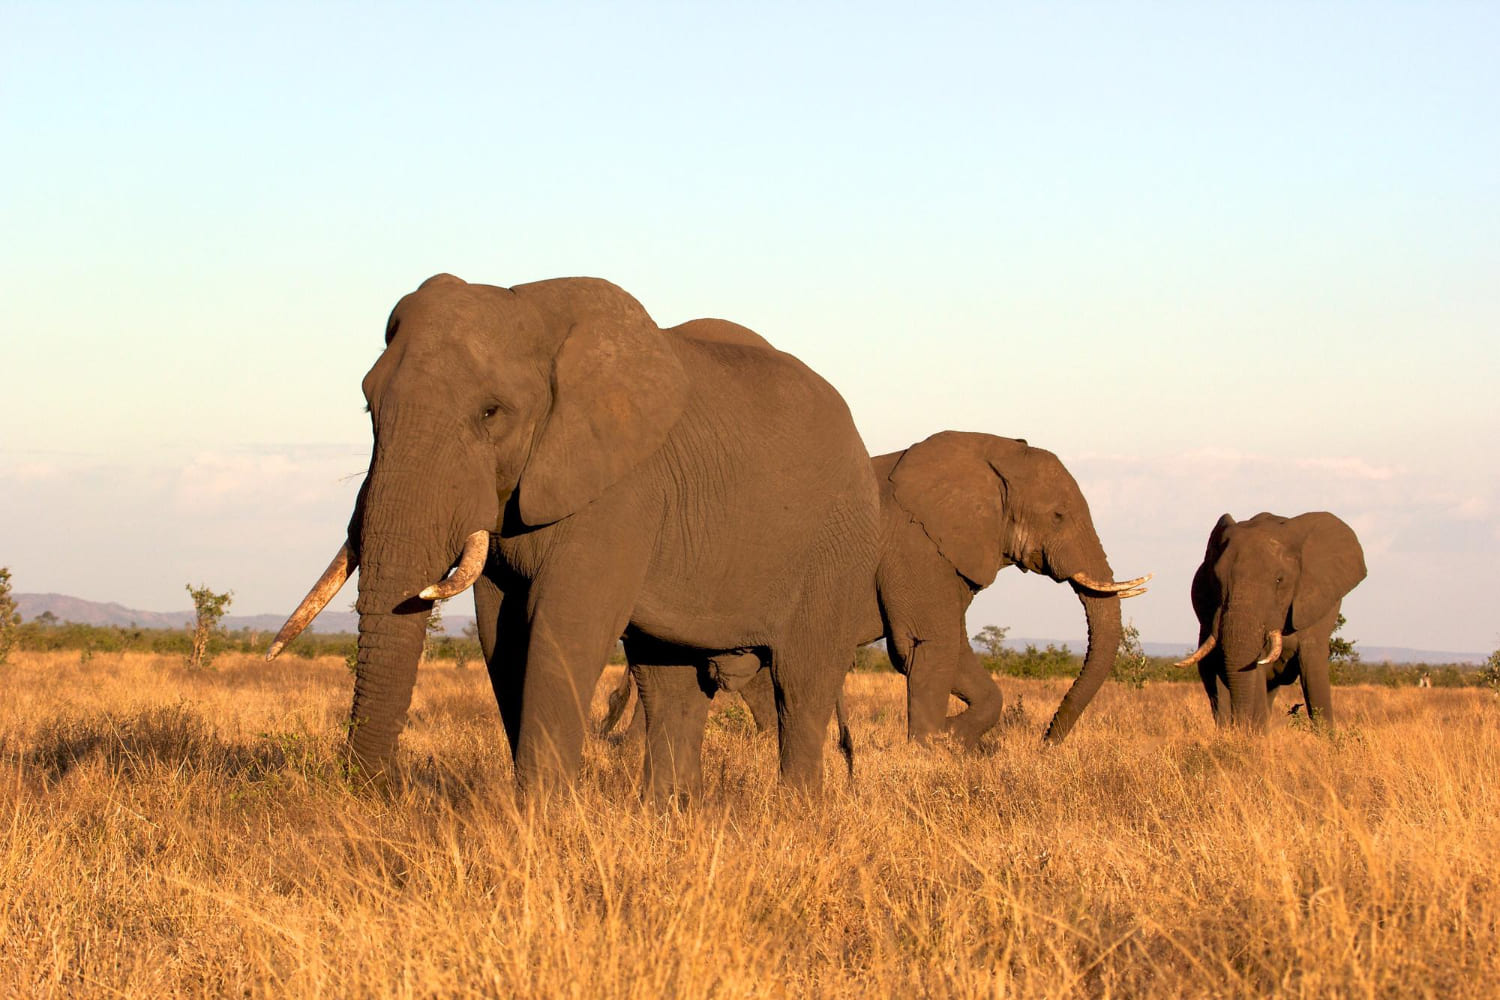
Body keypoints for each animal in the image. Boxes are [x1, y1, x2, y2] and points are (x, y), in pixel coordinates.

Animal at [267, 273, 881, 797]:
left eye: (491, 413)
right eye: (369, 406)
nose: (377, 789)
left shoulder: (623, 489)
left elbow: (566, 623)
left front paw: (538, 820)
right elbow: (500, 631)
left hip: (838, 544)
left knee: (800, 684)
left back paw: (796, 813)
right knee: (668, 682)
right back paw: (667, 815)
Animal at [603, 431, 1150, 747]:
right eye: (1058, 516)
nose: (1046, 744)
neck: (988, 453)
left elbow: (951, 652)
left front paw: (952, 742)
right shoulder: (917, 546)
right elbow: (925, 646)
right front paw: (930, 748)